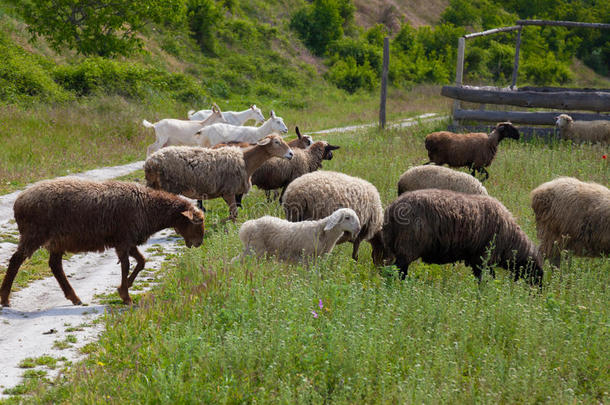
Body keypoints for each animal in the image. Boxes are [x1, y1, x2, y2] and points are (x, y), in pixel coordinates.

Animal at [0, 177, 205, 306]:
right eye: (196, 222)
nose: (199, 243)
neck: (148, 207)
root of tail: (19, 202)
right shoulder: (123, 239)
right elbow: (126, 265)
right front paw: (126, 296)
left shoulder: (127, 241)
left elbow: (141, 262)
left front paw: (124, 287)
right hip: (34, 234)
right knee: (16, 260)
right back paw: (5, 299)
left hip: (57, 239)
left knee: (55, 266)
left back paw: (74, 297)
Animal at [144, 134, 294, 219]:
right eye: (276, 142)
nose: (291, 154)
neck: (245, 161)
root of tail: (150, 161)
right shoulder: (229, 191)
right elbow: (234, 214)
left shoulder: (227, 193)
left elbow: (232, 213)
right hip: (166, 187)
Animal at [380, 189, 540, 286]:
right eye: (536, 271)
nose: (538, 294)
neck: (511, 241)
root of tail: (391, 210)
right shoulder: (484, 258)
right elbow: (485, 279)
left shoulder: (477, 259)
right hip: (407, 245)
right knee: (394, 271)